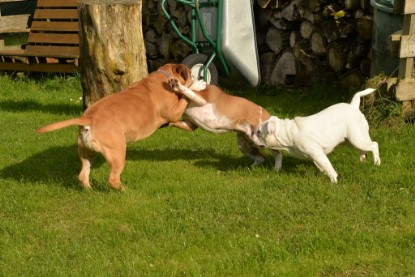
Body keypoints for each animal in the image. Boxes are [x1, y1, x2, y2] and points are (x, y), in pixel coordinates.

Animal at [37, 64, 197, 190]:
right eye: (190, 73)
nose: (194, 76)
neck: (164, 75)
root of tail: (89, 118)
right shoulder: (174, 112)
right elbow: (184, 98)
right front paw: (189, 91)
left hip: (86, 153)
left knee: (83, 174)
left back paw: (89, 190)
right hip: (117, 153)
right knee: (113, 179)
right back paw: (125, 190)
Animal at [249, 88, 382, 182]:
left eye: (259, 132)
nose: (251, 134)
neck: (287, 132)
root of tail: (353, 106)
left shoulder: (316, 153)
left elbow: (327, 165)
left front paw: (333, 179)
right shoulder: (314, 155)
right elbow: (320, 165)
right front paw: (323, 174)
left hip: (356, 137)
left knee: (374, 145)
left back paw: (376, 163)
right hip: (350, 139)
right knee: (363, 149)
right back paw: (362, 160)